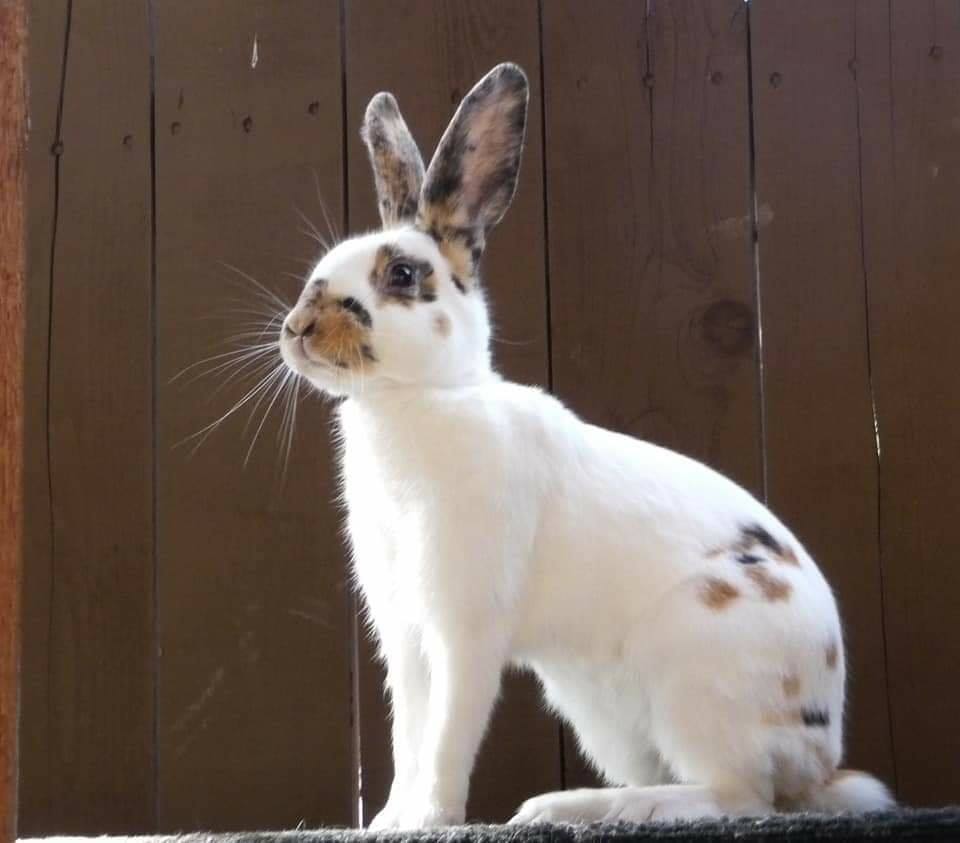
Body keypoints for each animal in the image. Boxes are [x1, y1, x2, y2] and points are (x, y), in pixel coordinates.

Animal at [278, 63, 894, 829]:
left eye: (402, 275)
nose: (298, 328)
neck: (419, 399)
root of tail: (820, 758)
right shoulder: (406, 634)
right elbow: (410, 735)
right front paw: (391, 820)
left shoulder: (465, 625)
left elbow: (448, 735)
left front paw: (432, 819)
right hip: (604, 712)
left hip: (693, 673)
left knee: (738, 795)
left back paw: (580, 806)